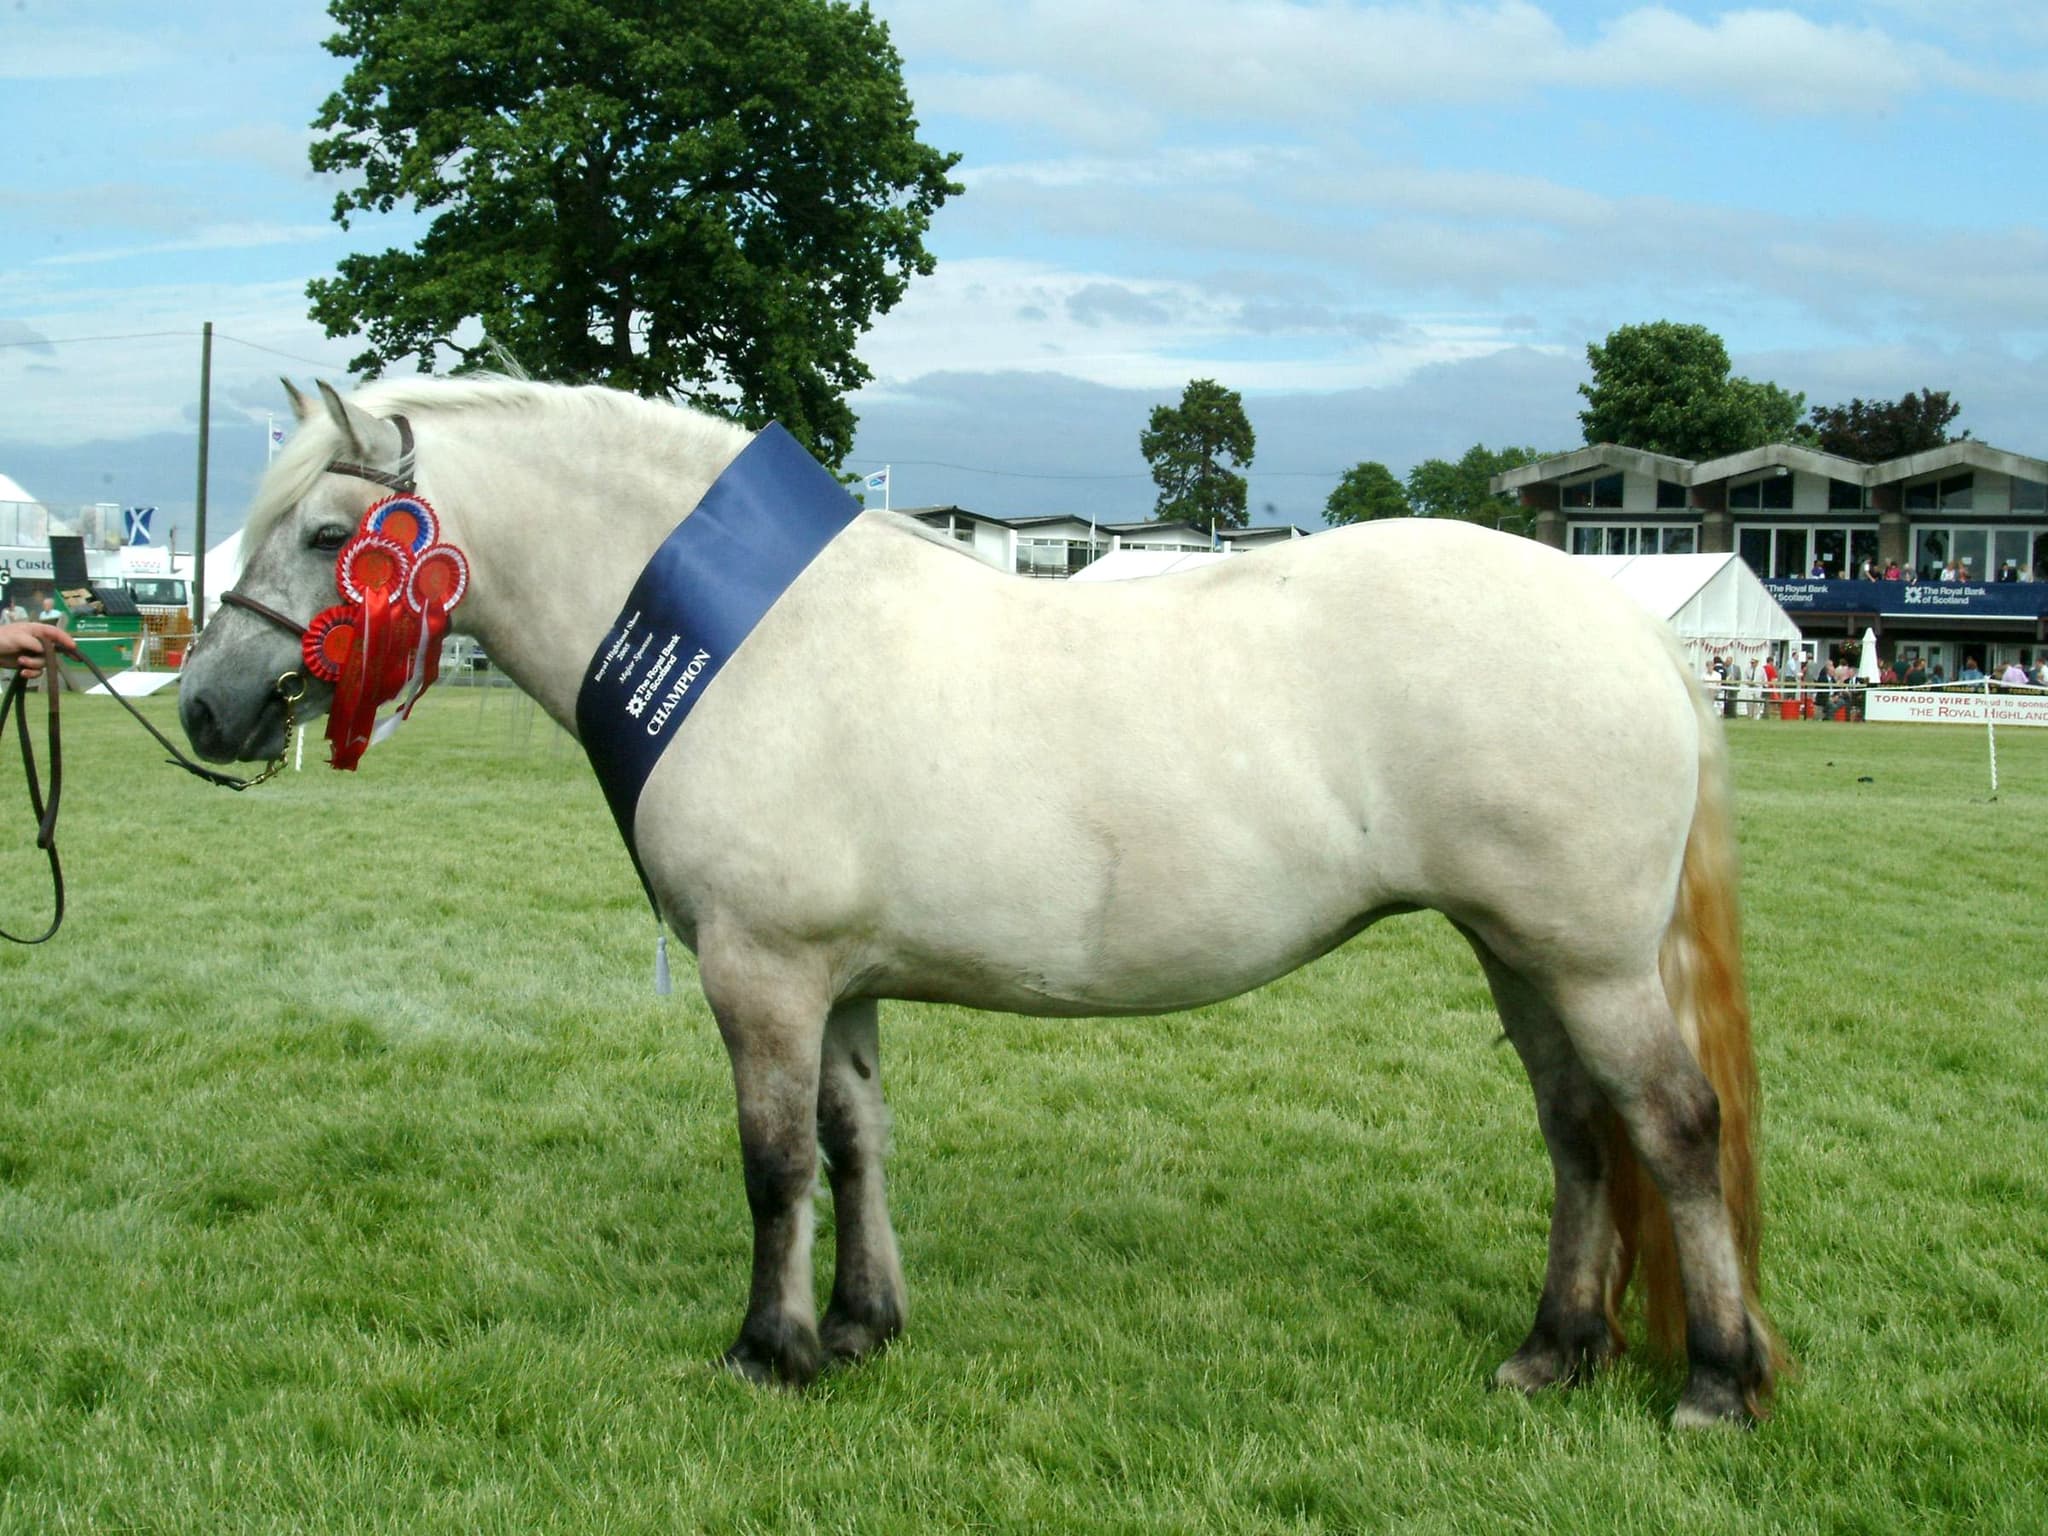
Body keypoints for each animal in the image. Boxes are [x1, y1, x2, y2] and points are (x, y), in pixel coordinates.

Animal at [180, 377, 1780, 1427]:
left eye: (328, 538)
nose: (205, 707)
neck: (744, 642)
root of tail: (1634, 635)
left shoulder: (762, 972)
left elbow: (774, 1165)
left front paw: (767, 1352)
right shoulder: (836, 982)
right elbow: (855, 1143)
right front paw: (859, 1328)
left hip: (1587, 961)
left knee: (1670, 1128)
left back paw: (1714, 1380)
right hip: (1519, 953)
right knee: (1578, 1134)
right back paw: (1553, 1351)